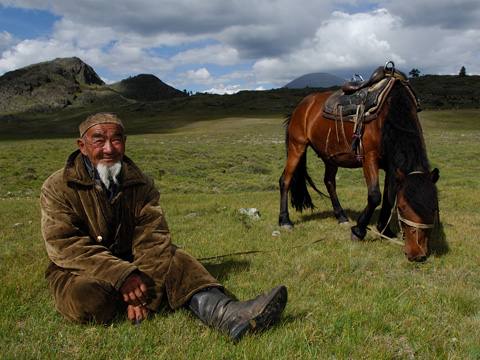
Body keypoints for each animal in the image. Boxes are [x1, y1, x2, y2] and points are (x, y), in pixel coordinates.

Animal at [280, 78, 440, 262]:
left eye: (434, 209)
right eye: (402, 209)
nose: (417, 254)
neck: (389, 113)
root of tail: (301, 107)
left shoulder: (391, 165)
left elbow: (388, 197)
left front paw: (385, 230)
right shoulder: (369, 158)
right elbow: (375, 196)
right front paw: (359, 231)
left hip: (331, 157)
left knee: (329, 182)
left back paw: (341, 217)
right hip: (297, 146)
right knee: (285, 180)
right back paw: (284, 221)